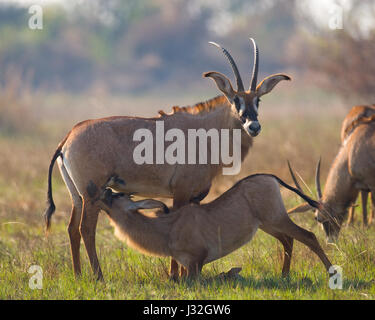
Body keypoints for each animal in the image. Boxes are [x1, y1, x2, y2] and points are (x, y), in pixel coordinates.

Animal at [43, 38, 290, 280]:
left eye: (258, 100)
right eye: (235, 99)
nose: (253, 126)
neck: (206, 130)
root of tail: (68, 137)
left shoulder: (194, 197)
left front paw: (183, 273)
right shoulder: (181, 192)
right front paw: (175, 276)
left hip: (77, 195)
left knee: (72, 229)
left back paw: (77, 275)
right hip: (91, 193)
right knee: (86, 229)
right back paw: (98, 276)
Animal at [101, 174, 334, 278]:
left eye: (119, 196)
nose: (105, 191)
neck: (167, 229)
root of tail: (270, 177)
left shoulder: (197, 261)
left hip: (276, 219)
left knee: (308, 236)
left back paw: (332, 273)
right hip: (268, 225)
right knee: (289, 240)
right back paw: (284, 275)